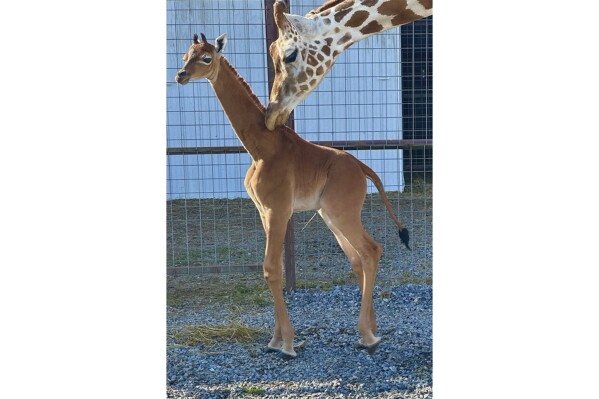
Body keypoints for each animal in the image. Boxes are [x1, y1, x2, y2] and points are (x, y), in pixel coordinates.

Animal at [173, 33, 408, 360]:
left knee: (371, 250)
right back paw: (371, 330)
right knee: (357, 258)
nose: (180, 75)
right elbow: (276, 269)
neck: (260, 148)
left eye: (206, 58)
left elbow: (271, 268)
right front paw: (275, 340)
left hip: (342, 212)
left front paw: (286, 344)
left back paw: (367, 336)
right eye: (185, 56)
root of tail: (363, 168)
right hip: (329, 216)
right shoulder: (263, 211)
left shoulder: (278, 209)